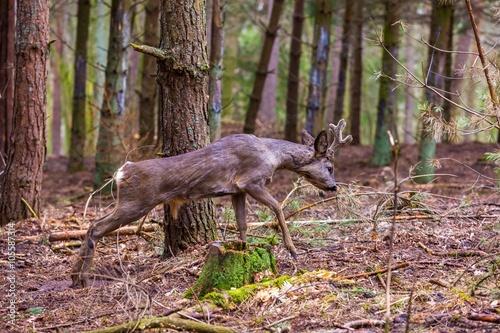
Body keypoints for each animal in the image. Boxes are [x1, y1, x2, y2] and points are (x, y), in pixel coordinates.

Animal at [70, 118, 352, 286]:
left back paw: (75, 277)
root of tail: (121, 171)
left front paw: (244, 248)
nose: (333, 187)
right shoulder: (251, 180)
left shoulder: (237, 190)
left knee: (93, 224)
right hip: (135, 203)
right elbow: (278, 207)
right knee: (96, 226)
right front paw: (292, 250)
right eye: (329, 167)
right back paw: (81, 277)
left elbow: (242, 223)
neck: (272, 156)